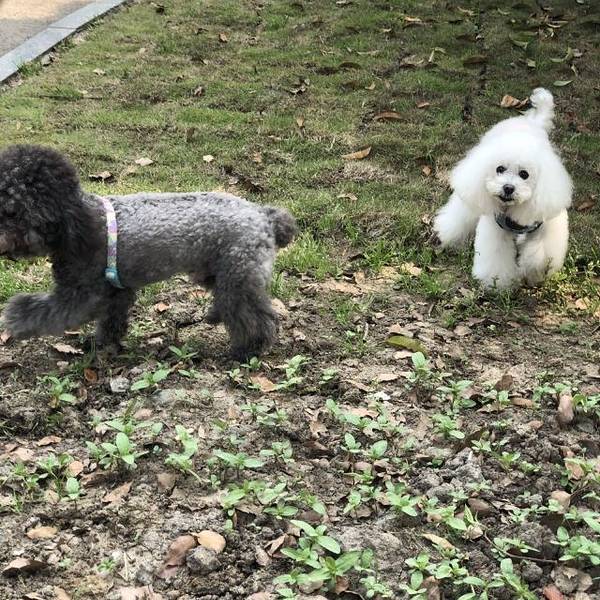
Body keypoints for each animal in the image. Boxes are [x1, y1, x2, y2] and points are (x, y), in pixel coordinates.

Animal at [0, 145, 298, 359]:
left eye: (11, 211)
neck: (77, 221)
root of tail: (264, 215)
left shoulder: (82, 293)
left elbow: (44, 311)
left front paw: (14, 319)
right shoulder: (116, 292)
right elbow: (111, 320)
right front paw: (104, 344)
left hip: (238, 272)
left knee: (253, 316)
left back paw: (248, 350)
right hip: (218, 269)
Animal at [432, 88, 572, 289]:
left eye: (524, 174)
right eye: (500, 169)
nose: (508, 188)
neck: (514, 210)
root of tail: (530, 122)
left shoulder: (545, 222)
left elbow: (539, 257)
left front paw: (532, 273)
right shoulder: (495, 227)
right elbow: (496, 257)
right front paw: (497, 283)